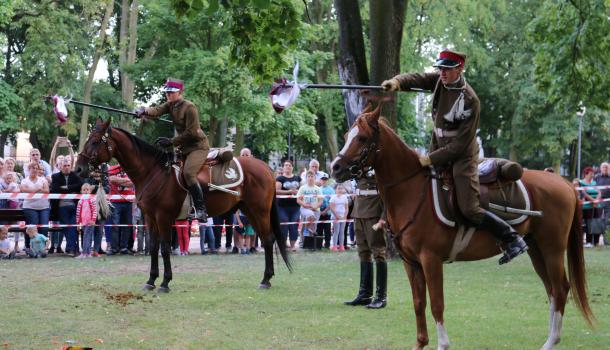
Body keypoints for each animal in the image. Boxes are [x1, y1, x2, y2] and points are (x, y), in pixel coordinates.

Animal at [75, 119, 290, 292]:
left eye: (95, 141)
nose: (78, 168)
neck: (153, 172)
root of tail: (266, 168)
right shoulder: (150, 218)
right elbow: (153, 247)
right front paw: (151, 280)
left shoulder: (163, 217)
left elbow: (164, 248)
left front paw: (165, 283)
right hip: (250, 211)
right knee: (266, 239)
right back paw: (266, 278)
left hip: (259, 211)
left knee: (268, 240)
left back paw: (265, 279)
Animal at [330, 106, 592, 350]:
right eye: (345, 135)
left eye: (362, 138)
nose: (335, 167)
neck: (412, 191)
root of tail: (564, 182)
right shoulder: (411, 263)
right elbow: (419, 303)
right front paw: (420, 343)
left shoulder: (431, 260)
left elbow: (437, 304)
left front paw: (443, 344)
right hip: (536, 250)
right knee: (552, 290)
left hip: (552, 249)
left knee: (560, 289)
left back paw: (551, 341)